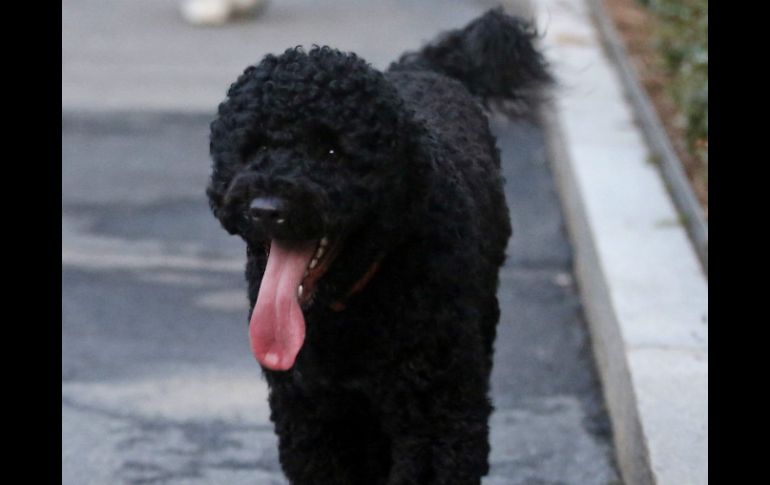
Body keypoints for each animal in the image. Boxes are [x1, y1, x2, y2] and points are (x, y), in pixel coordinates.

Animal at [207, 8, 548, 484]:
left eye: (332, 151)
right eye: (254, 146)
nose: (266, 209)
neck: (349, 309)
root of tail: (424, 69)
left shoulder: (434, 417)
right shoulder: (313, 417)